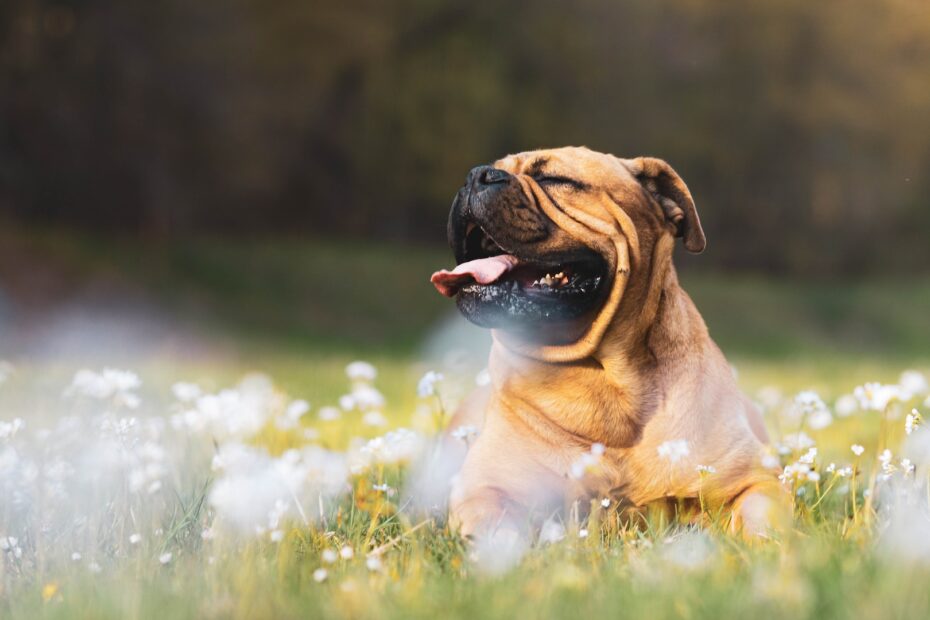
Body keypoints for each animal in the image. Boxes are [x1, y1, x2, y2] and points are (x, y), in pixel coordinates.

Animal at [428, 148, 784, 540]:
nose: (475, 175)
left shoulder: (754, 480)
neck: (601, 377)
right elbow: (499, 531)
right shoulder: (486, 488)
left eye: (555, 179)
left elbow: (762, 520)